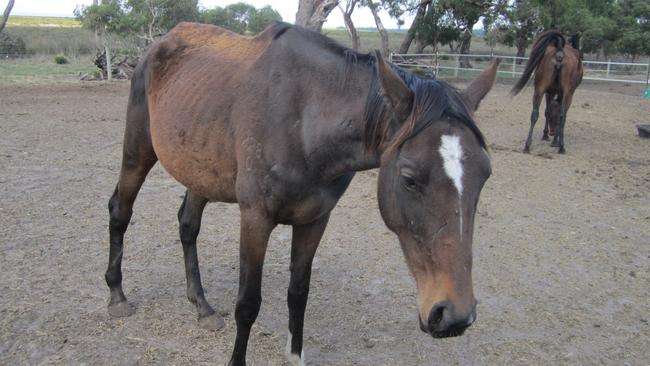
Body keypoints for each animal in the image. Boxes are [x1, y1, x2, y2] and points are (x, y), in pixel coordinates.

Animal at [105, 22, 496, 366]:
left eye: (485, 176)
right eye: (410, 179)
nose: (454, 315)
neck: (304, 117)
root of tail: (159, 44)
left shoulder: (315, 220)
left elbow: (298, 293)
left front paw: (294, 355)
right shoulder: (255, 218)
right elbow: (248, 303)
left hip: (198, 170)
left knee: (187, 226)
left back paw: (202, 306)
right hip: (138, 151)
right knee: (120, 211)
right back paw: (117, 297)